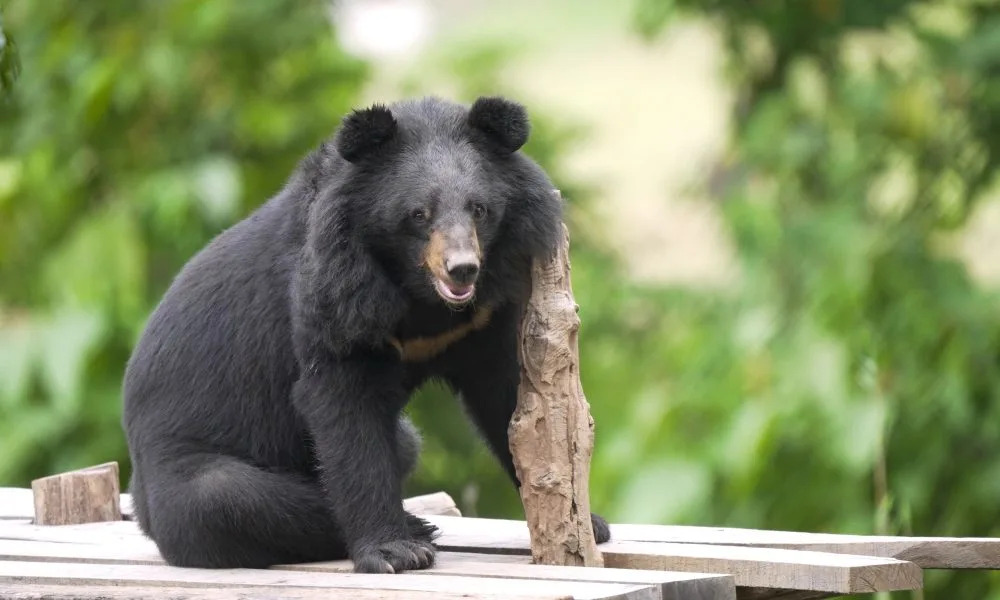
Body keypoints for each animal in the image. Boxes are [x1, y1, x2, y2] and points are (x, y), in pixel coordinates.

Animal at [121, 96, 610, 574]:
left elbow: (508, 401)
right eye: (419, 214)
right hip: (184, 471)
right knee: (223, 496)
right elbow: (346, 413)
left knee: (405, 445)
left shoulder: (481, 318)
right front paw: (395, 551)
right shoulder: (335, 298)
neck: (420, 295)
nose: (462, 269)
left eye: (479, 209)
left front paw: (587, 523)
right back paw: (418, 527)